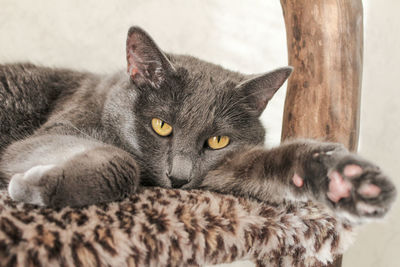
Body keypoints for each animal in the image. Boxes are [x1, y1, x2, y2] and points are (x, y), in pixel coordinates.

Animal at [0, 26, 396, 224]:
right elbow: (121, 163)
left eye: (218, 141)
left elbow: (265, 165)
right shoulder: (60, 127)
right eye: (161, 126)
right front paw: (35, 185)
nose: (178, 178)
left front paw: (345, 179)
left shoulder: (219, 172)